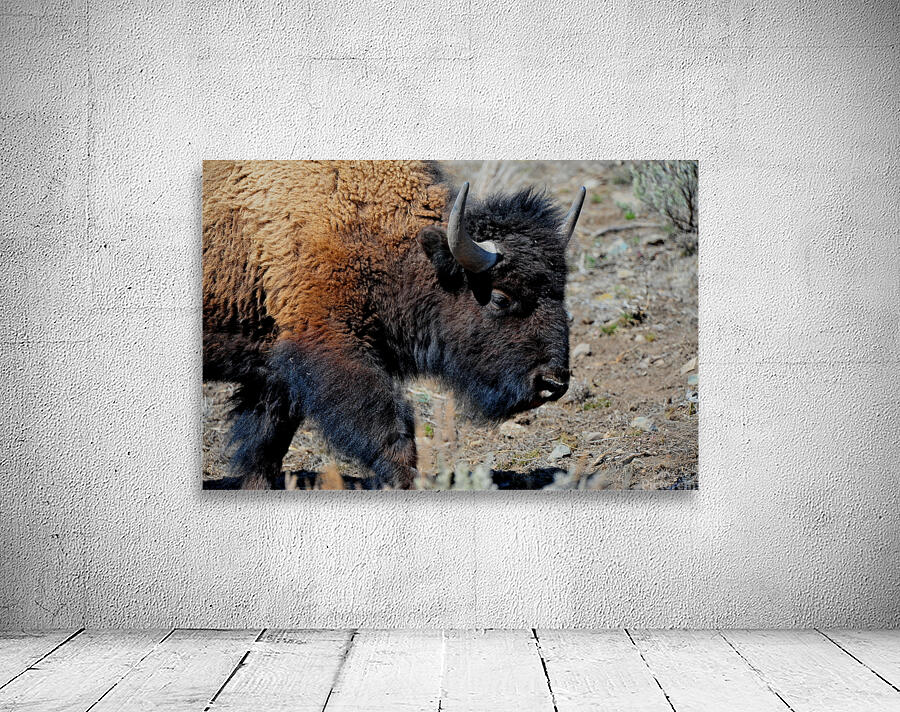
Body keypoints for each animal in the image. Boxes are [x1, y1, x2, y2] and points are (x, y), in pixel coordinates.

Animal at [203, 160, 584, 489]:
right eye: (500, 297)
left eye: (561, 291)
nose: (552, 382)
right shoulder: (329, 348)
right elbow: (389, 427)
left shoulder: (276, 371)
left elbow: (266, 442)